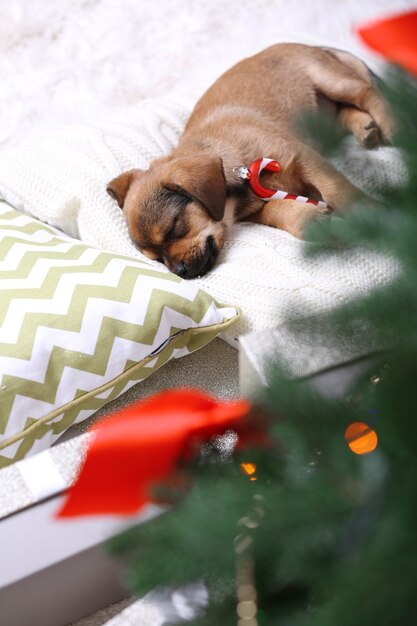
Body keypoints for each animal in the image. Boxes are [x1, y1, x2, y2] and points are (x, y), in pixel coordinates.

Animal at [105, 42, 392, 276]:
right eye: (156, 258)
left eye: (175, 228)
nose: (180, 272)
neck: (244, 173)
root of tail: (312, 46)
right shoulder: (256, 209)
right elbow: (277, 210)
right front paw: (307, 219)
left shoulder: (304, 158)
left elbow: (338, 191)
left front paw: (371, 214)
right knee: (345, 110)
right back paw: (365, 127)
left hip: (330, 80)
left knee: (367, 91)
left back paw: (391, 124)